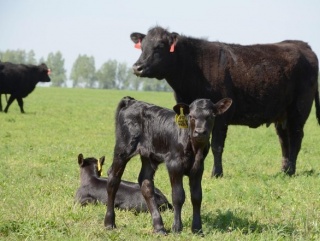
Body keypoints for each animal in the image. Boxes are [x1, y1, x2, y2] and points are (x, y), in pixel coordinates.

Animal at [105, 95, 232, 233]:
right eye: (191, 116)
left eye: (211, 115)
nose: (199, 132)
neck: (195, 149)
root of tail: (132, 101)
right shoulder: (174, 165)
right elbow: (178, 196)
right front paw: (177, 228)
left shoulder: (198, 168)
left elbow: (197, 197)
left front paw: (197, 229)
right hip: (123, 149)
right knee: (113, 179)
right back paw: (109, 223)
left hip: (148, 156)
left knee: (145, 182)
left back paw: (159, 227)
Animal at [131, 26, 320, 177]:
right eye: (142, 47)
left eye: (159, 47)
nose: (137, 67)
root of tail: (301, 44)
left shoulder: (220, 116)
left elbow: (217, 146)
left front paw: (216, 173)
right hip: (282, 113)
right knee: (283, 139)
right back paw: (284, 170)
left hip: (299, 109)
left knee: (295, 137)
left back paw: (291, 170)